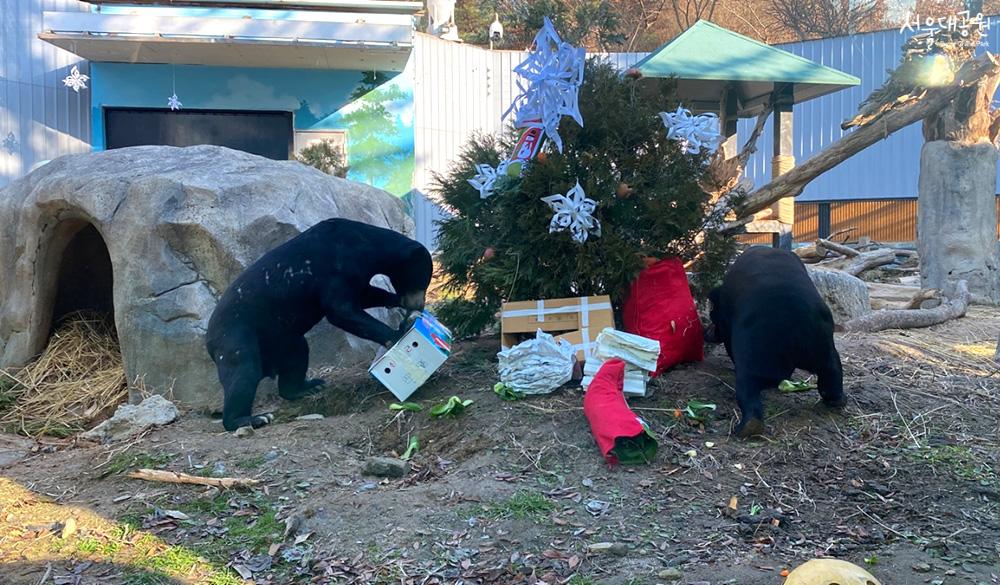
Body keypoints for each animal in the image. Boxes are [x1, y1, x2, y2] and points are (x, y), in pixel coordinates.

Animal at [205, 217, 432, 432]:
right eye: (421, 281)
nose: (418, 305)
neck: (363, 244)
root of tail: (208, 340)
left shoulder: (355, 274)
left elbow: (364, 296)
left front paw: (397, 303)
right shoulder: (337, 268)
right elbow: (341, 310)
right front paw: (398, 334)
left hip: (281, 339)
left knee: (297, 356)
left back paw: (309, 387)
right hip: (235, 337)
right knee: (243, 373)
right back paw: (252, 419)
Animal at [704, 244, 844, 436]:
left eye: (712, 316)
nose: (706, 331)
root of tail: (793, 324)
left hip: (754, 355)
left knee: (748, 391)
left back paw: (745, 427)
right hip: (823, 347)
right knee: (832, 372)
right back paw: (836, 400)